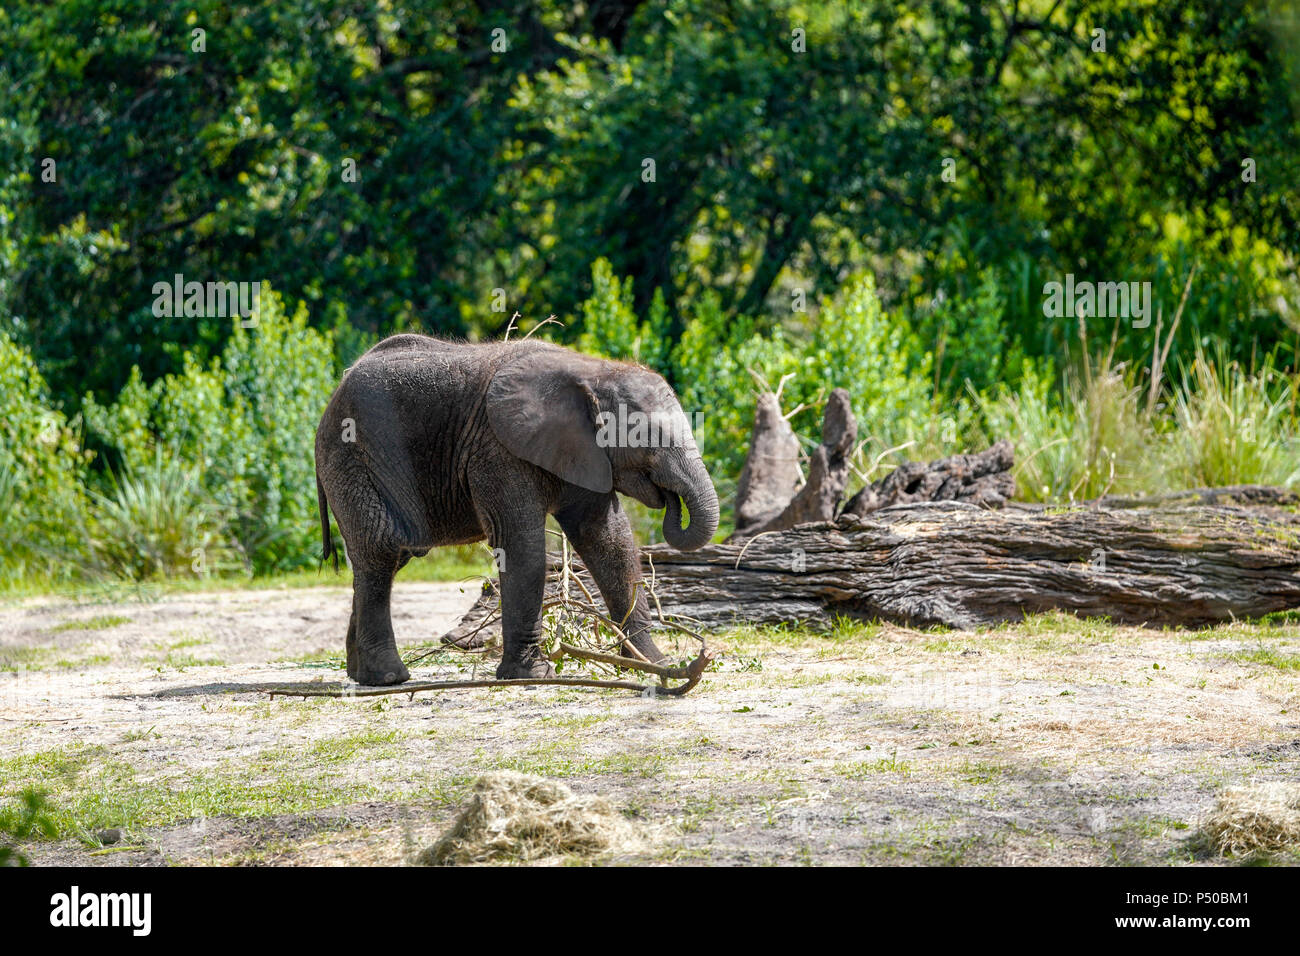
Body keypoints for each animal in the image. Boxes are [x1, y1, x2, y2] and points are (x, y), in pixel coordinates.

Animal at [314, 332, 722, 686]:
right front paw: (534, 676)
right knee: (381, 549)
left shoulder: (586, 452)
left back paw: (360, 675)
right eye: (647, 440)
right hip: (352, 457)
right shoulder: (497, 449)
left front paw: (653, 664)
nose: (670, 499)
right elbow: (523, 546)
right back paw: (388, 678)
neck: (594, 372)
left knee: (387, 557)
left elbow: (609, 541)